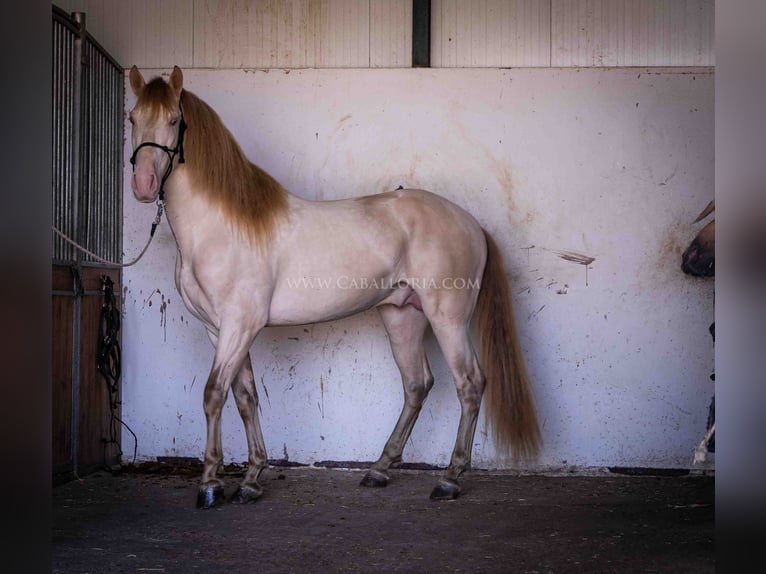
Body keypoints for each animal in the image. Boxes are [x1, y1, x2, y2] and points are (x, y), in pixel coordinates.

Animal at [129, 65, 540, 510]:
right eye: (132, 118)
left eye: (174, 120)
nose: (144, 184)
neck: (221, 228)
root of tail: (471, 222)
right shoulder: (219, 329)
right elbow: (245, 398)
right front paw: (252, 478)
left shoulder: (239, 325)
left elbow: (213, 394)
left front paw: (210, 484)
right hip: (402, 315)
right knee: (417, 384)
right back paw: (379, 469)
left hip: (447, 317)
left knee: (470, 384)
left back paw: (449, 479)